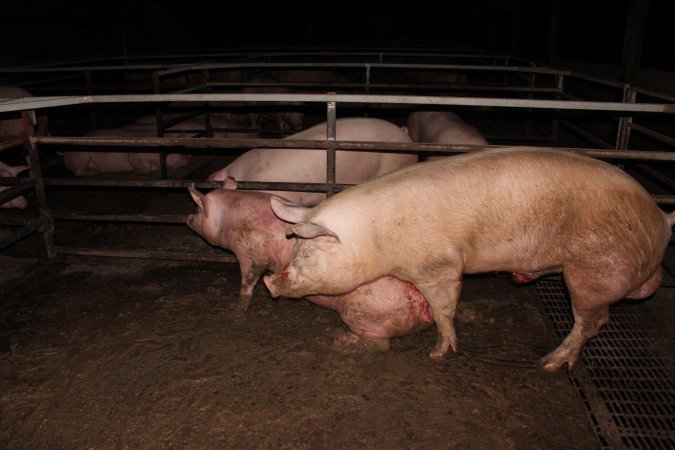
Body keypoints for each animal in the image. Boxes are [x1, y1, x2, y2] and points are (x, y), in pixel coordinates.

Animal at [186, 181, 434, 350]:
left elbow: (248, 282)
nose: (186, 218)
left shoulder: (250, 253)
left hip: (361, 312)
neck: (229, 221)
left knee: (381, 345)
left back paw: (342, 340)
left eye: (198, 209)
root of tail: (423, 301)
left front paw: (236, 310)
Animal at [266, 148, 675, 372]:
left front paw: (437, 353)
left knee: (593, 320)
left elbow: (444, 310)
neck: (376, 239)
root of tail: (660, 219)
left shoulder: (440, 267)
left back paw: (549, 363)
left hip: (591, 272)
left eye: (306, 252)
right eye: (293, 248)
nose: (271, 282)